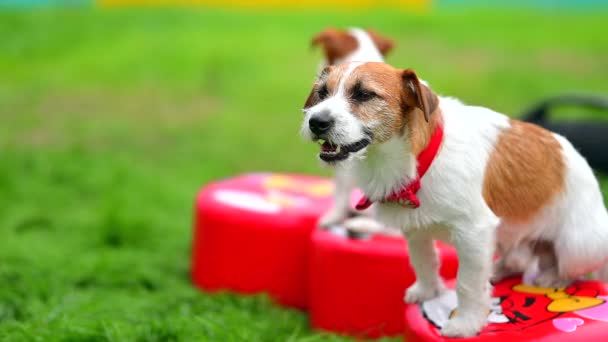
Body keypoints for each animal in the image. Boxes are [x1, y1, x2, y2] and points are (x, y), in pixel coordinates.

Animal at [300, 61, 608, 336]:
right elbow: (423, 262)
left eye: (364, 94)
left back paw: (551, 277)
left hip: (576, 247)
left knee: (576, 271)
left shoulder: (474, 233)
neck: (419, 157)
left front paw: (467, 323)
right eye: (322, 93)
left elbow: (467, 284)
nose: (316, 122)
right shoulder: (415, 230)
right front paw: (428, 291)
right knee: (517, 262)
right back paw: (497, 271)